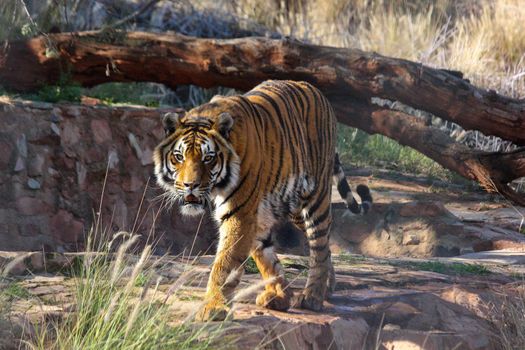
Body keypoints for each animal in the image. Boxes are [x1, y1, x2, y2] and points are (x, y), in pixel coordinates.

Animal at [152, 80, 372, 322]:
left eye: (208, 158)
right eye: (179, 157)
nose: (190, 184)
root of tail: (315, 90)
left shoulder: (240, 214)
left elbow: (224, 264)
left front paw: (213, 308)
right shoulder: (254, 217)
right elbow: (266, 259)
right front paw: (279, 296)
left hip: (316, 198)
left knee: (320, 245)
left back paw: (313, 295)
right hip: (294, 208)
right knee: (323, 249)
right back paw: (327, 285)